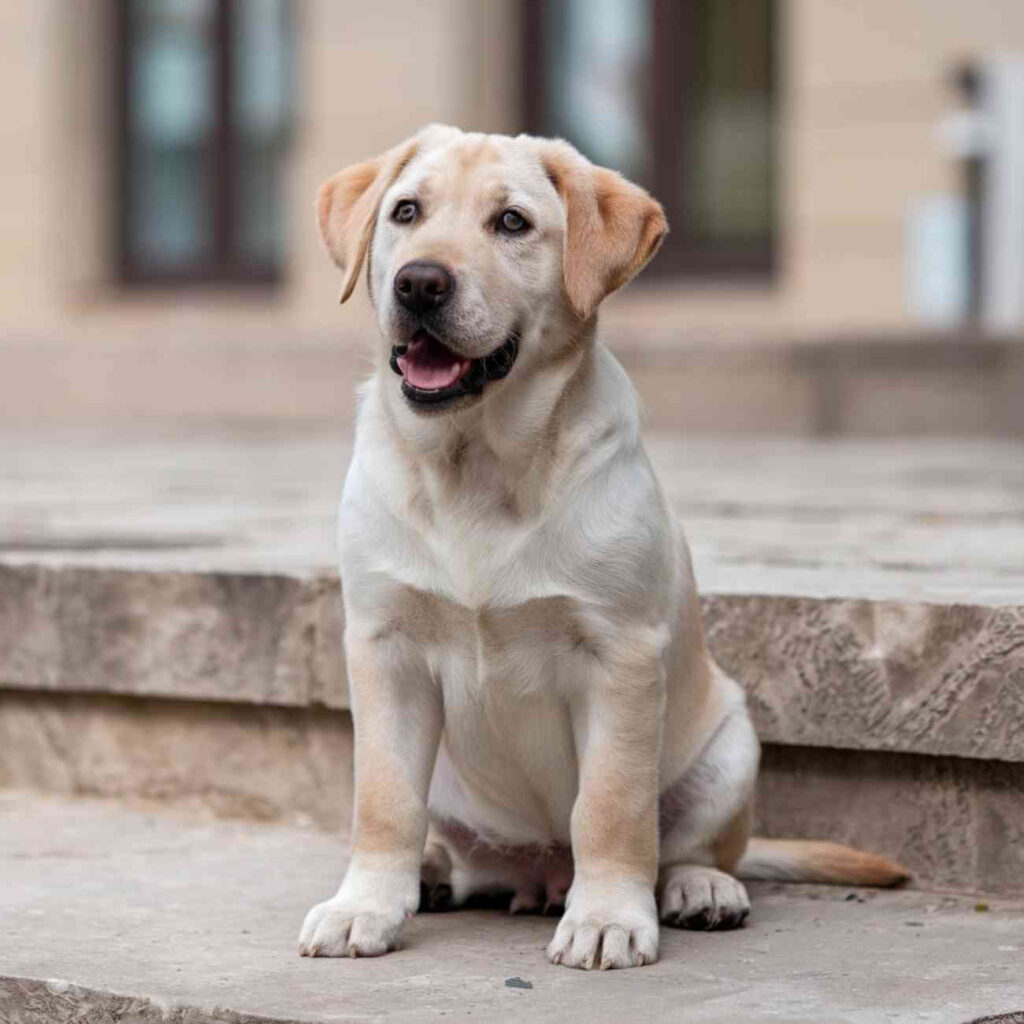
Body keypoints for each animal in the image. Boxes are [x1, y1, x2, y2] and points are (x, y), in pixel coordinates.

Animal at [294, 123, 905, 970]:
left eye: (512, 223)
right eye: (405, 212)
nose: (419, 284)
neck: (476, 465)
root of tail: (534, 870)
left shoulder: (620, 655)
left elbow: (611, 806)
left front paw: (609, 917)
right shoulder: (385, 648)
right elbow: (383, 798)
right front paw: (366, 907)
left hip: (729, 745)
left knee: (689, 846)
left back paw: (694, 889)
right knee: (455, 843)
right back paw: (439, 874)